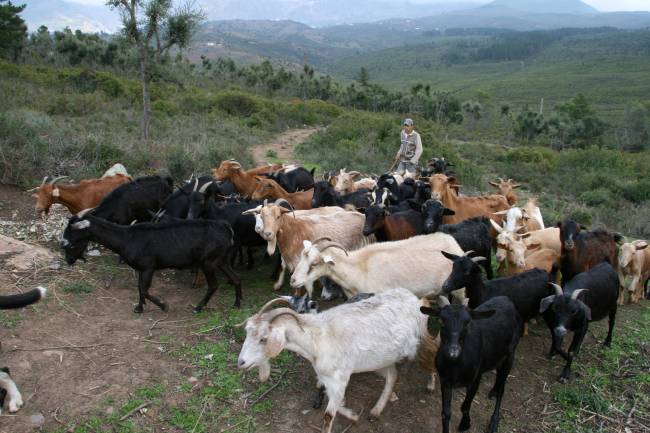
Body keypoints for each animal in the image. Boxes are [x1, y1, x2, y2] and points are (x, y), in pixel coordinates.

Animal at [60, 214, 240, 312]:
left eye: (70, 244)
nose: (69, 261)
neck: (126, 238)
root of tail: (225, 227)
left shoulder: (148, 267)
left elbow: (144, 290)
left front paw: (163, 306)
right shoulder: (141, 269)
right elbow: (140, 288)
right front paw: (139, 308)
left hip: (209, 261)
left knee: (214, 285)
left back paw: (198, 307)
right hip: (222, 260)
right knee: (236, 278)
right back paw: (237, 304)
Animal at [235, 288, 432, 432]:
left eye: (264, 339)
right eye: (247, 332)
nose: (241, 363)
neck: (318, 338)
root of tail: (414, 298)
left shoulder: (340, 378)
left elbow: (328, 415)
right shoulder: (328, 378)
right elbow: (334, 402)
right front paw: (353, 416)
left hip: (420, 341)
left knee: (429, 360)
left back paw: (430, 385)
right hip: (379, 360)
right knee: (392, 375)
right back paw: (376, 411)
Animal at [420, 296, 520, 432]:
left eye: (467, 323)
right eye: (442, 321)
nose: (453, 351)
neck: (455, 368)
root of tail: (506, 298)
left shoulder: (475, 380)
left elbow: (465, 406)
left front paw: (464, 424)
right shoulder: (445, 380)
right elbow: (446, 413)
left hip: (510, 355)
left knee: (502, 388)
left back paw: (494, 423)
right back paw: (493, 392)